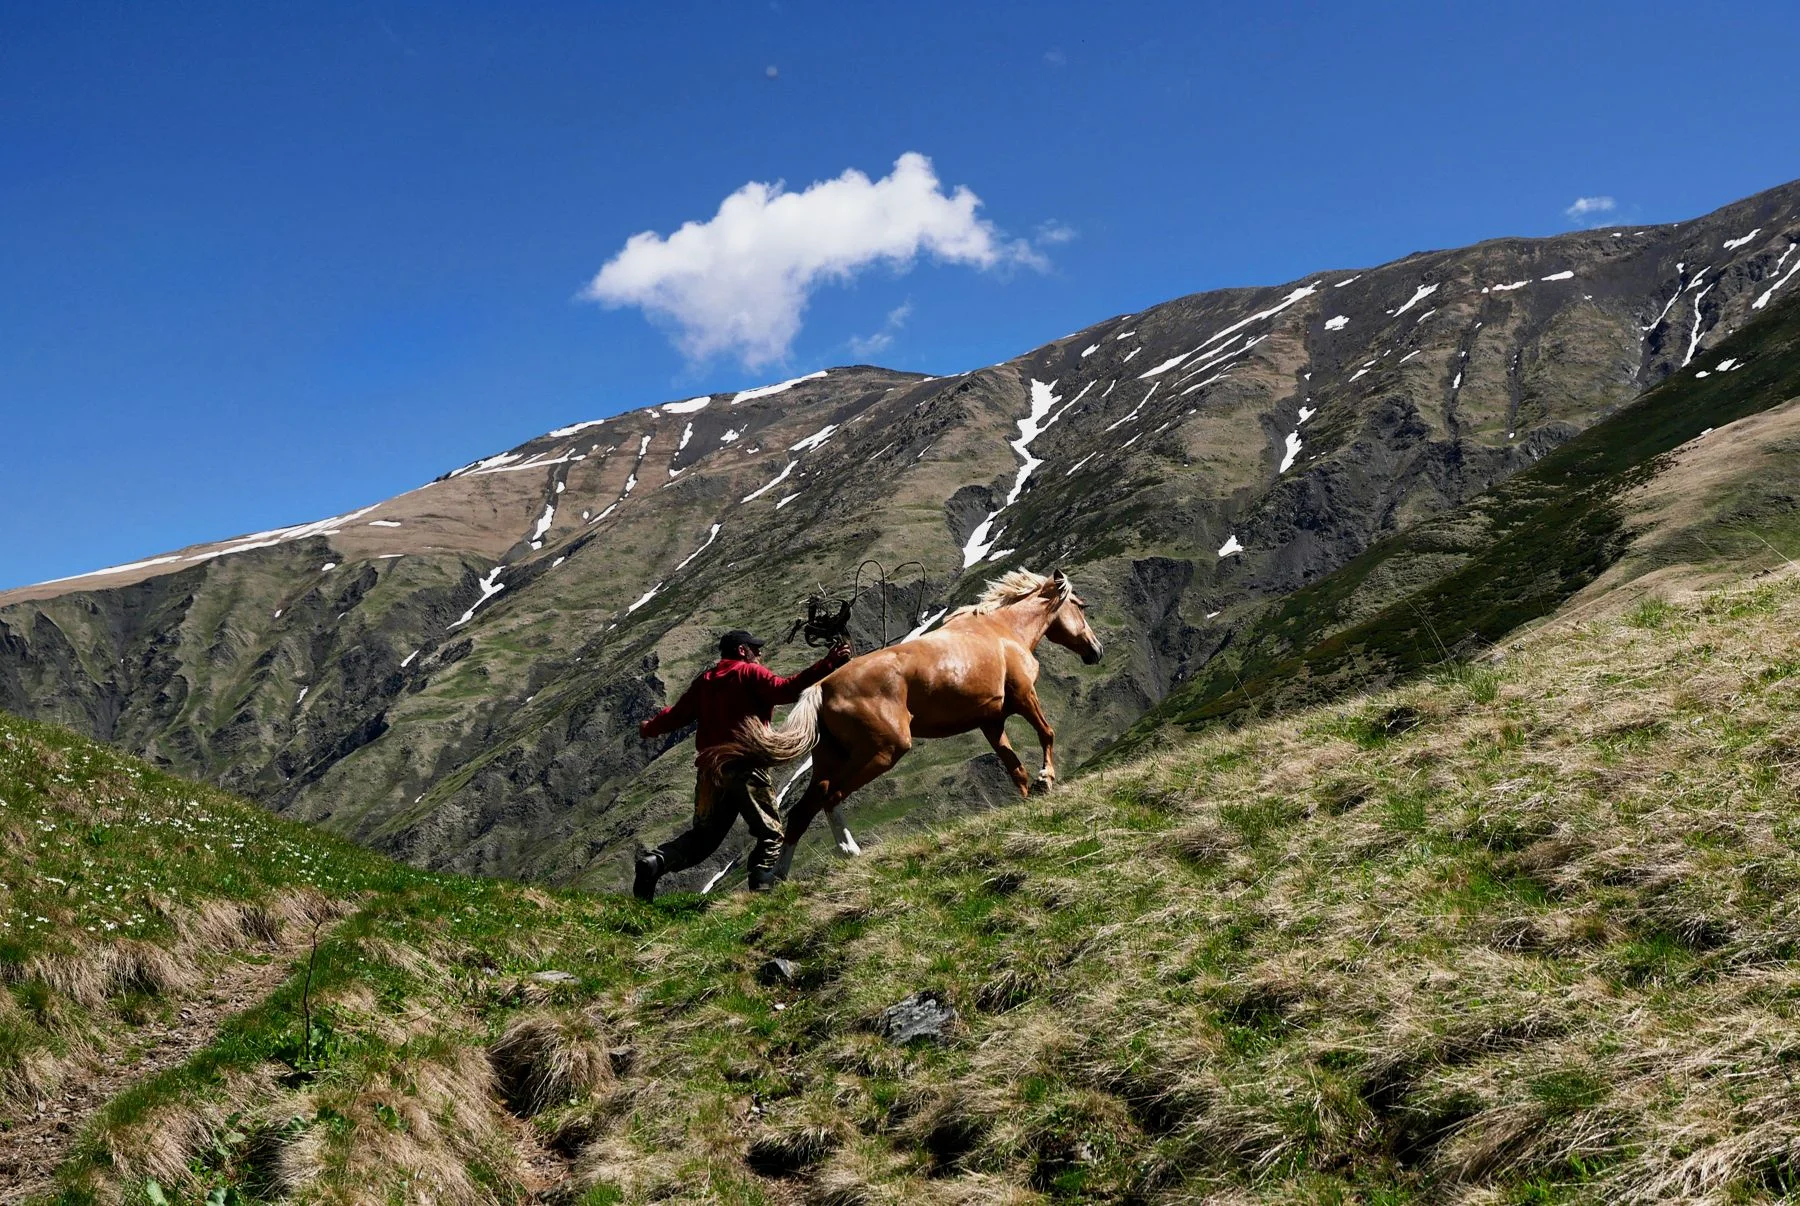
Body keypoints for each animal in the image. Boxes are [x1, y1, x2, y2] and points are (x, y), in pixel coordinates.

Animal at [700, 568, 1103, 878]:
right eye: (1080, 606)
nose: (1095, 651)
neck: (1002, 632)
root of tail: (821, 686)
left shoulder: (991, 722)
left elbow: (1014, 768)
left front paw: (1027, 800)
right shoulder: (1023, 696)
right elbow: (1046, 733)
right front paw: (1046, 779)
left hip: (830, 757)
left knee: (803, 810)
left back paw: (779, 876)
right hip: (883, 751)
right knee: (832, 796)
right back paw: (848, 850)